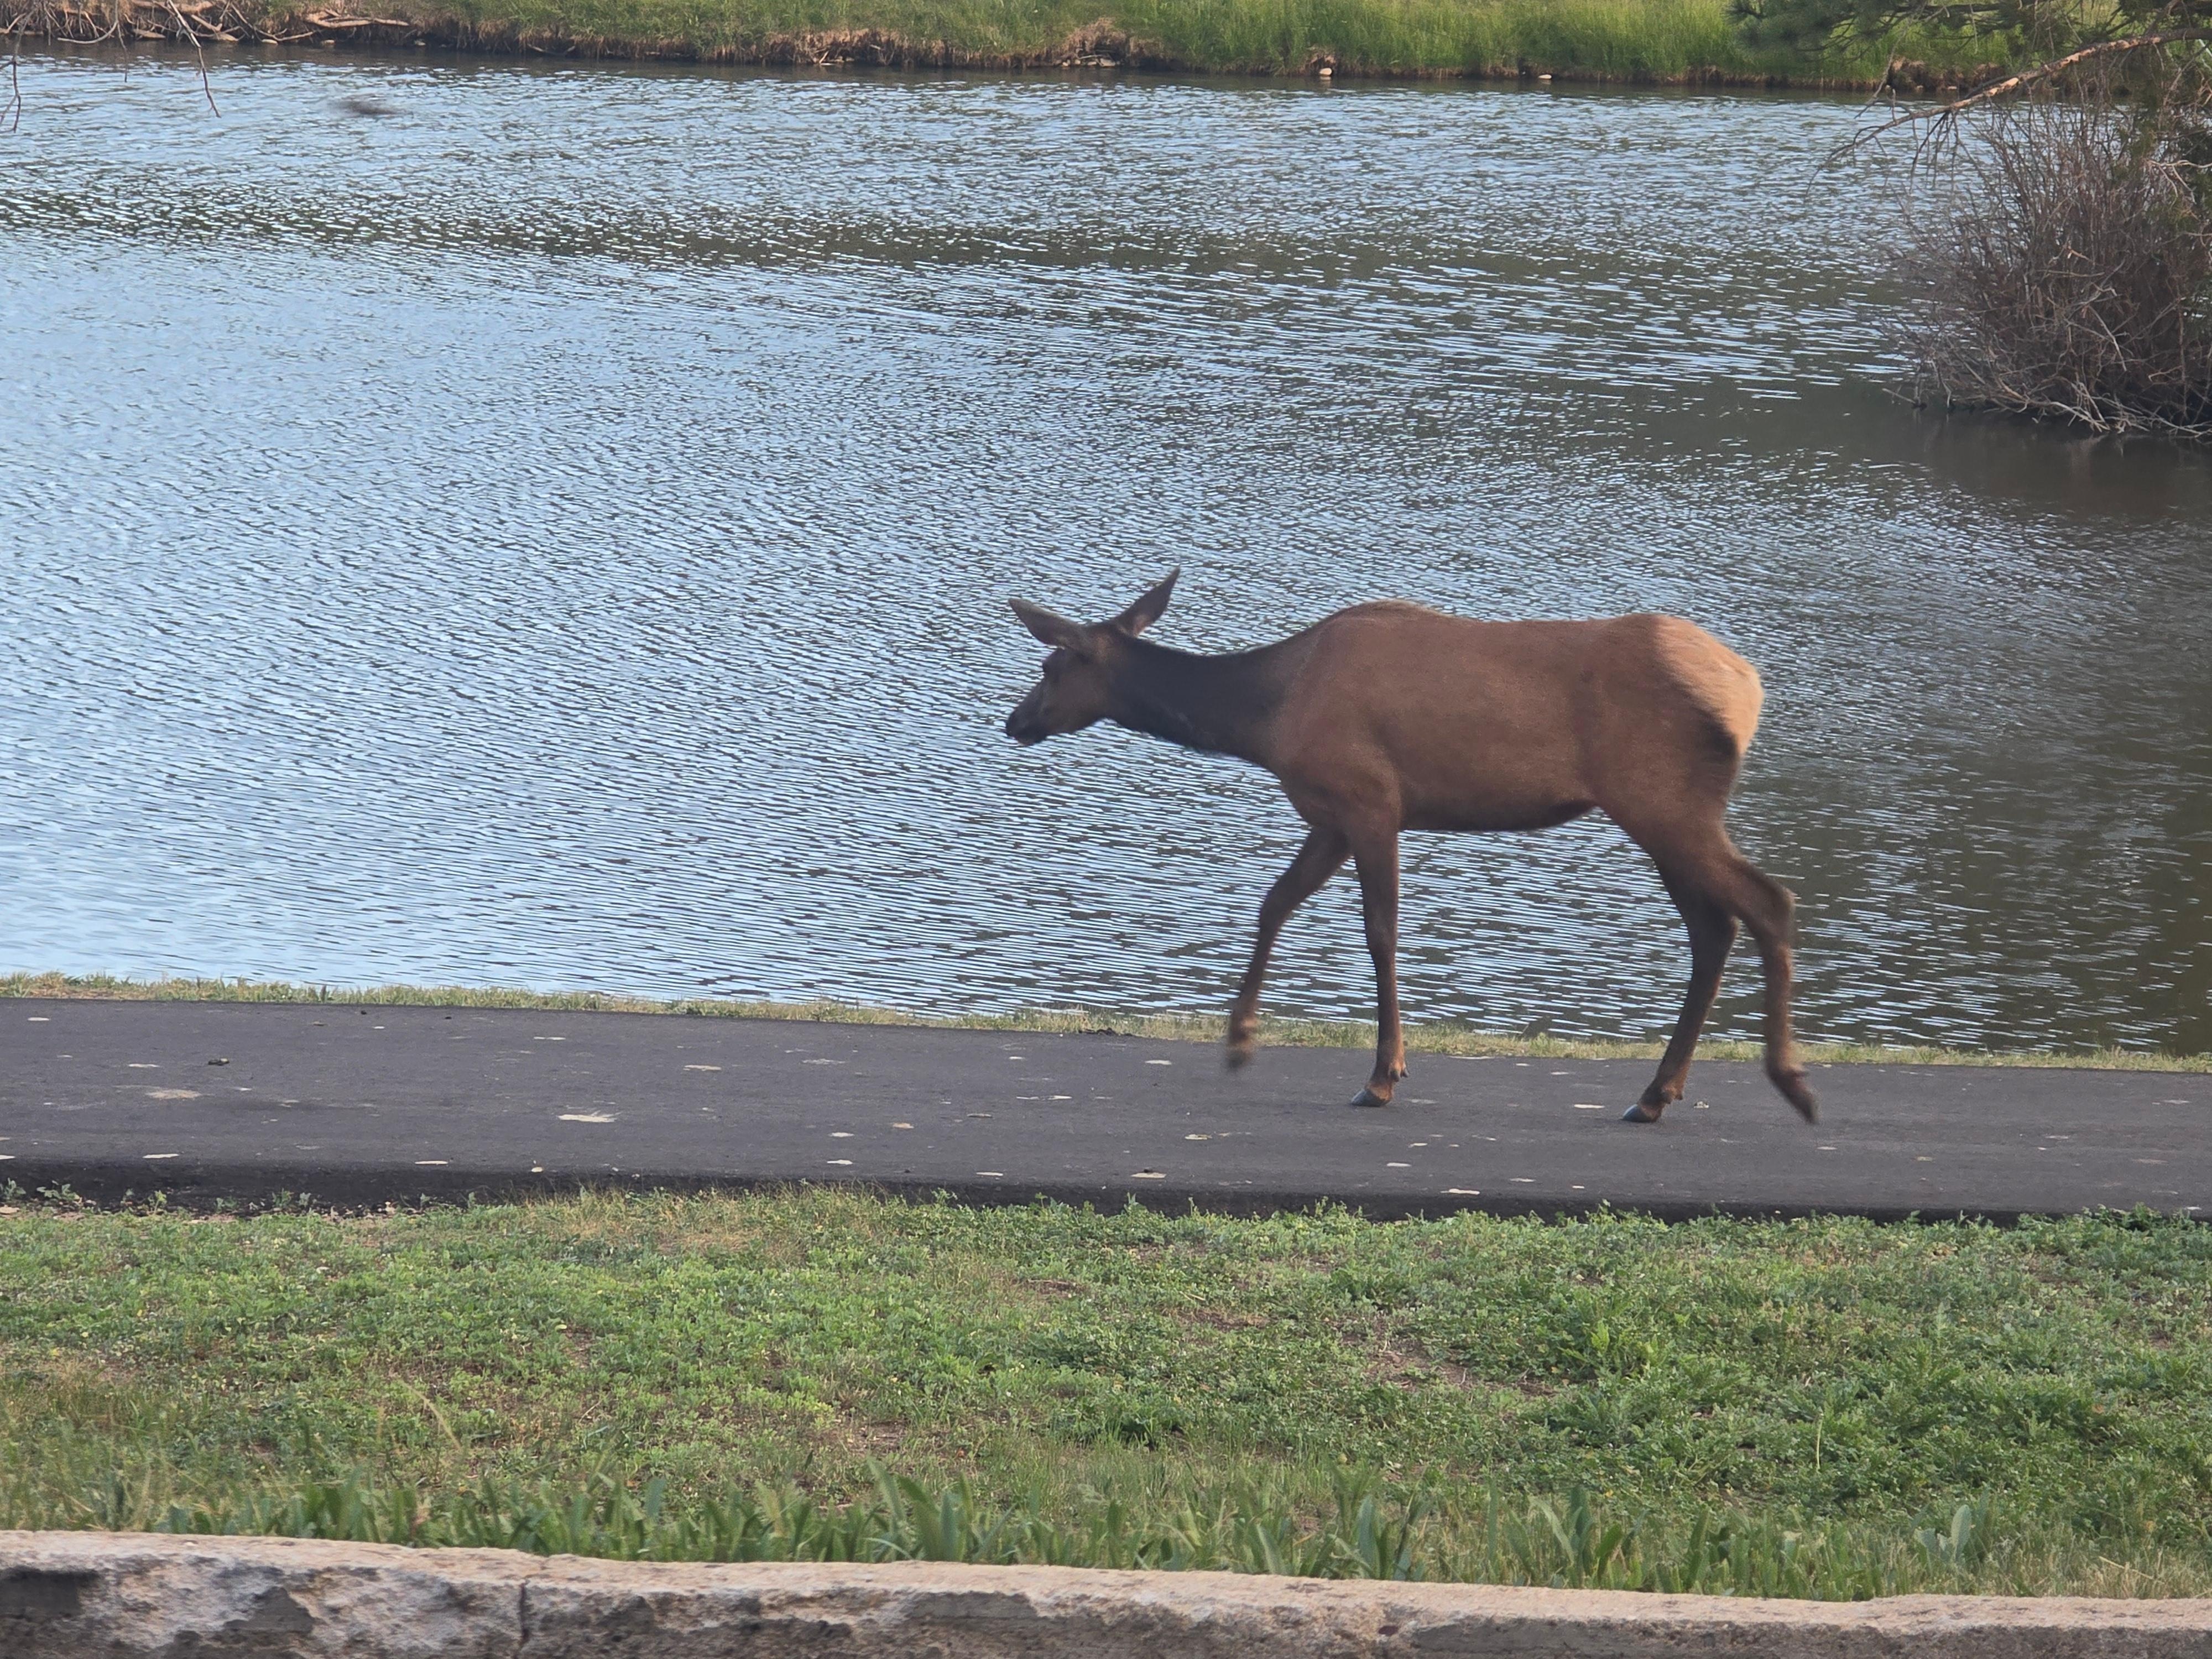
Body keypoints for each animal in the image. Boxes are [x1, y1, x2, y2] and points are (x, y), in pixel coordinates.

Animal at [1002, 571, 1817, 1125]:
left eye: (1050, 667)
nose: (1015, 721)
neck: (1267, 719)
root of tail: (1747, 690)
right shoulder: (1329, 816)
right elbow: (1273, 906)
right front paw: (1239, 1040)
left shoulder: (1371, 802)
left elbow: (1380, 933)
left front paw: (1383, 1074)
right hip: (1661, 813)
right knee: (1714, 928)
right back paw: (1655, 1094)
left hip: (1662, 803)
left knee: (1768, 902)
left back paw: (1789, 1082)